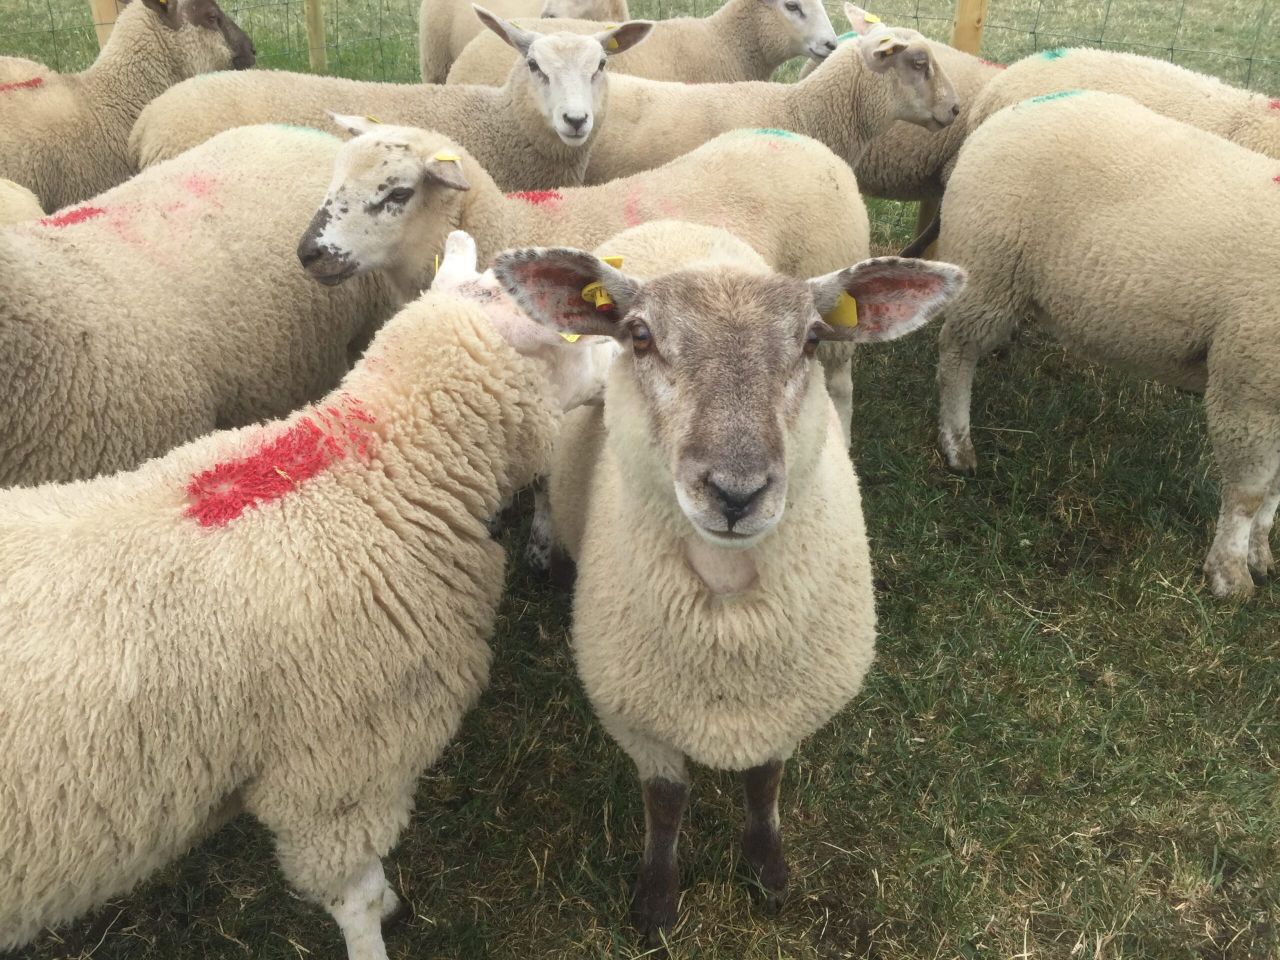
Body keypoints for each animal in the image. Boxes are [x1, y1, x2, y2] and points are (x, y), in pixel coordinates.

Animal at [0, 225, 620, 956]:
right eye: (569, 337)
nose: (622, 369)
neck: (376, 479)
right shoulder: (337, 769)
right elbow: (355, 894)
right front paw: (378, 924)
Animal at [491, 240, 965, 944]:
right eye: (639, 336)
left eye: (811, 340)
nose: (736, 493)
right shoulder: (637, 713)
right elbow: (666, 804)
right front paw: (656, 902)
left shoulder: (785, 705)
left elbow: (765, 785)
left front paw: (768, 873)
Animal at [933, 90, 1280, 599]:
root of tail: (1008, 112)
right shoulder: (1250, 381)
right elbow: (1249, 492)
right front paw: (1230, 576)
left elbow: (1274, 492)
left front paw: (1260, 554)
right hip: (989, 265)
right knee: (956, 355)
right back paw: (958, 446)